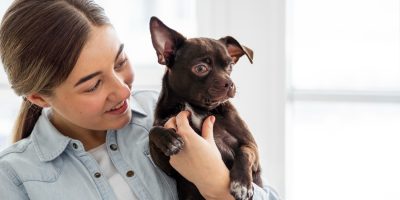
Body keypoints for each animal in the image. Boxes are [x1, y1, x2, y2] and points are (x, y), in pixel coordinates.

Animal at [148, 17, 260, 200]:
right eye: (200, 68)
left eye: (230, 66)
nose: (230, 83)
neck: (197, 108)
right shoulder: (167, 167)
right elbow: (153, 131)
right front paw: (169, 139)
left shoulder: (252, 148)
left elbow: (244, 152)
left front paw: (242, 184)